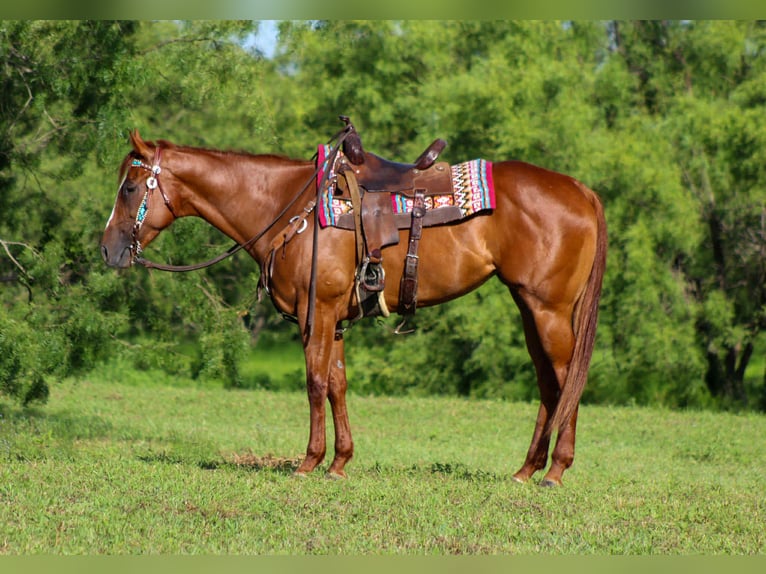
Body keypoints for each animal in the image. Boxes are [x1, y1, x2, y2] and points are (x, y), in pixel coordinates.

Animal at [101, 126, 607, 486]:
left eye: (129, 188)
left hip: (548, 310)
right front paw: (340, 462)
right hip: (530, 308)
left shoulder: (317, 312)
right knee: (549, 384)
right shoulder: (336, 319)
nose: (108, 250)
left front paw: (309, 462)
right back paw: (526, 470)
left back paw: (555, 471)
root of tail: (581, 189)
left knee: (567, 380)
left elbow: (314, 382)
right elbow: (337, 385)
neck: (288, 208)